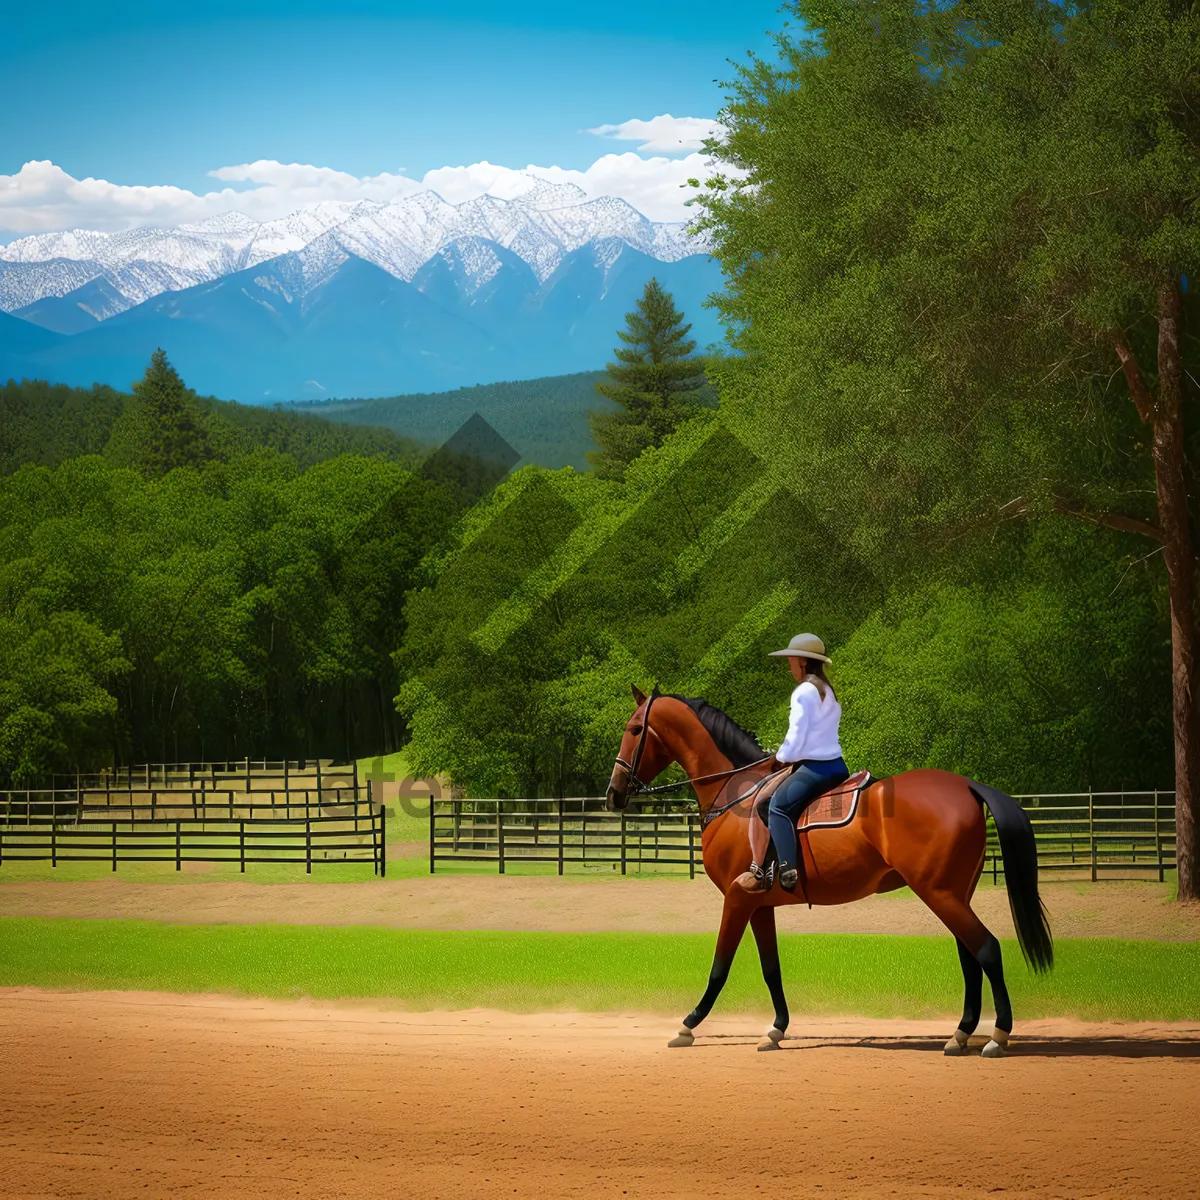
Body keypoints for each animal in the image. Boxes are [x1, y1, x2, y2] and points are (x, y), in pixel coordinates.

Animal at [604, 691, 1056, 1056]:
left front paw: (689, 1024)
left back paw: (997, 1036)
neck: (737, 795)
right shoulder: (758, 904)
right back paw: (961, 1034)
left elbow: (720, 966)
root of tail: (966, 785)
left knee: (987, 949)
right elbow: (771, 968)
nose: (613, 793)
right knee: (970, 955)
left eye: (635, 729)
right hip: (953, 894)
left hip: (940, 894)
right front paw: (776, 1029)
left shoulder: (736, 899)